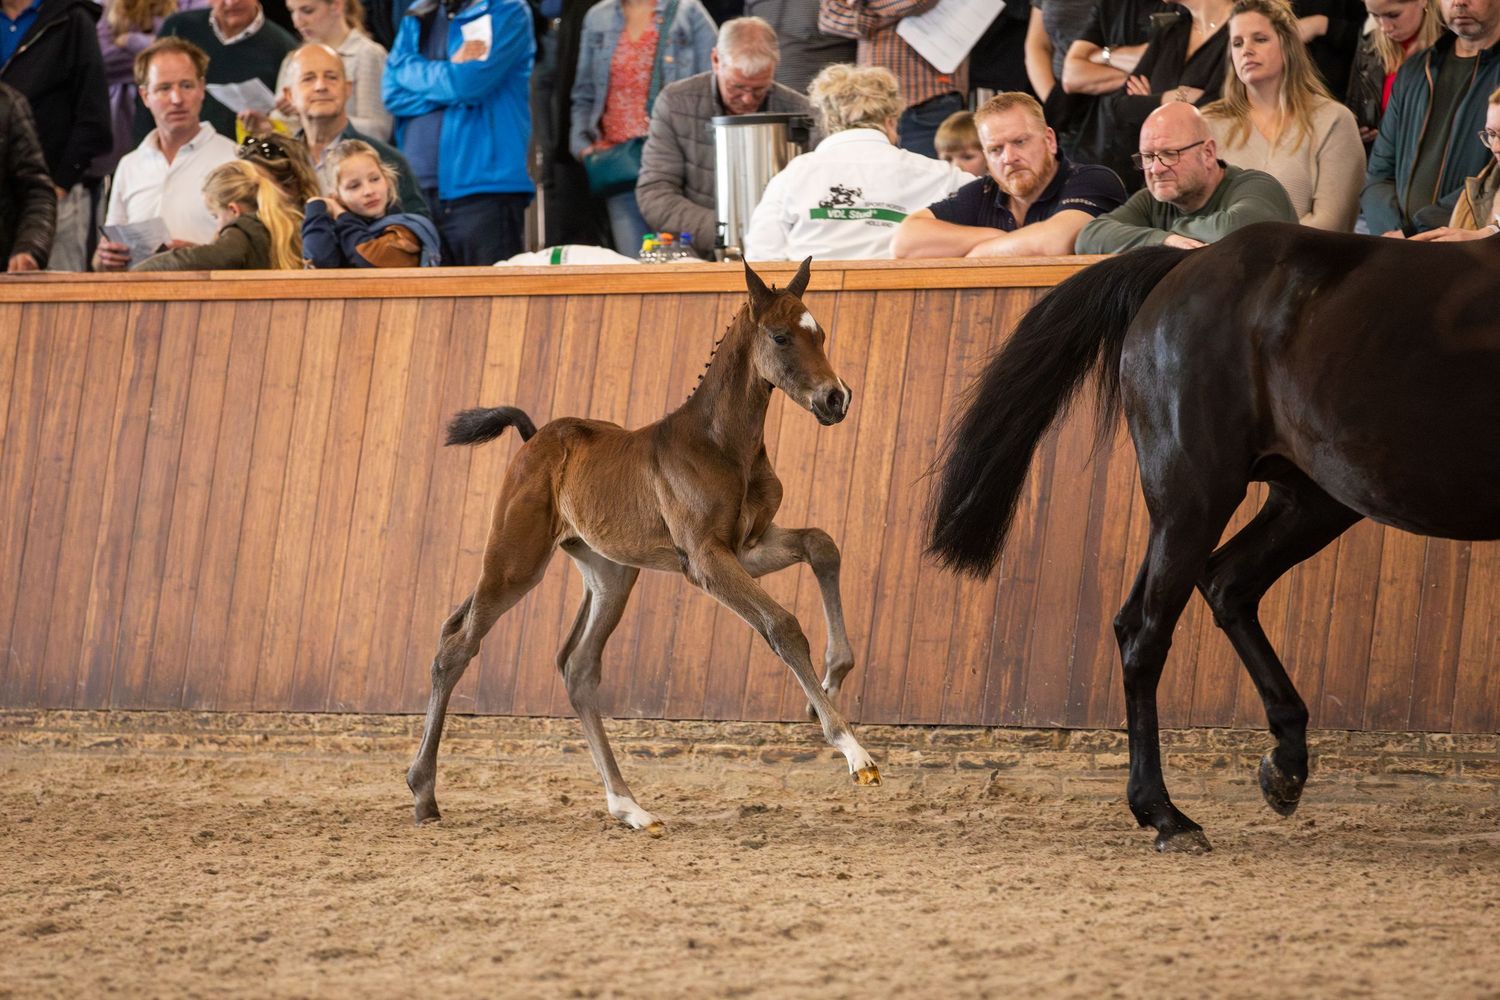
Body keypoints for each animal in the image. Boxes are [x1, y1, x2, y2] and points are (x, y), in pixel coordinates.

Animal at [408, 258, 880, 834]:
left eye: (822, 333)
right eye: (781, 336)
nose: (837, 398)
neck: (721, 446)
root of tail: (534, 438)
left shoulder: (747, 547)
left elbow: (822, 544)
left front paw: (832, 682)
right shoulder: (704, 560)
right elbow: (782, 624)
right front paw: (853, 750)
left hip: (610, 573)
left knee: (576, 667)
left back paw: (629, 806)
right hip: (515, 562)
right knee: (457, 645)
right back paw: (423, 793)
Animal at [927, 222, 1500, 852]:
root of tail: (1188, 263)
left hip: (1304, 500)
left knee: (1222, 585)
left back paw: (1283, 768)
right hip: (1195, 493)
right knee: (1148, 632)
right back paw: (1167, 815)